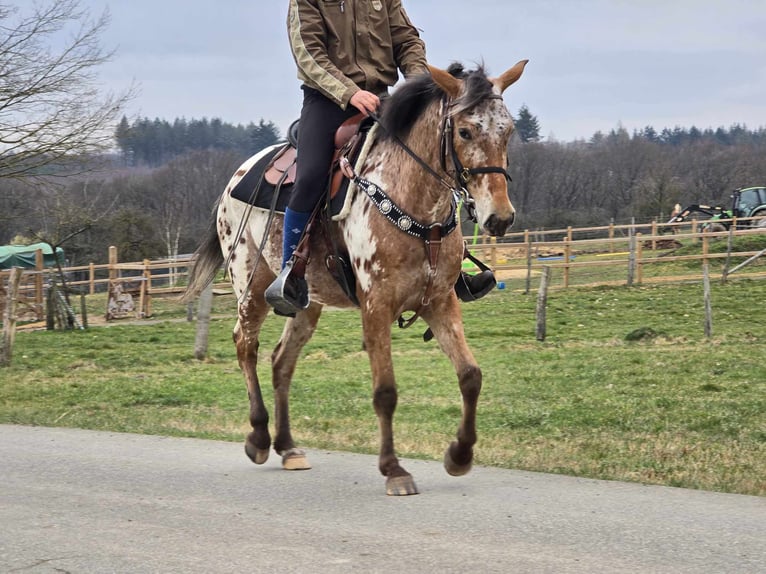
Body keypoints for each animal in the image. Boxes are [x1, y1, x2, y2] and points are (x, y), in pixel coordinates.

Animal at [184, 60, 532, 498]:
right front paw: (393, 469)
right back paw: (260, 438)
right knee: (245, 345)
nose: (499, 217)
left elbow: (470, 376)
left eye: (508, 130)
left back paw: (288, 447)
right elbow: (385, 391)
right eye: (466, 131)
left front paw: (459, 455)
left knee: (281, 362)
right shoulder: (376, 306)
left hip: (306, 303)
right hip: (252, 287)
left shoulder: (440, 302)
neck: (413, 203)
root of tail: (239, 174)